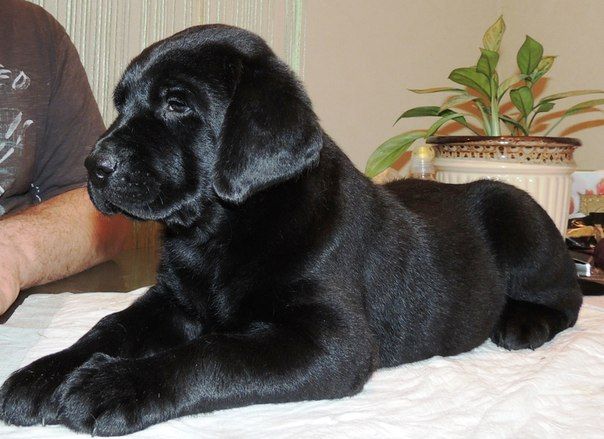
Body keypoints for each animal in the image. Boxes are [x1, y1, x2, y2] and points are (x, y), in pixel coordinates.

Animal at [1, 26, 584, 436]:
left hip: (519, 216)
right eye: (122, 103)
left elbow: (215, 353)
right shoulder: (171, 301)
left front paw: (114, 384)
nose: (93, 166)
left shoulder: (335, 342)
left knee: (570, 295)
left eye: (177, 102)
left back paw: (523, 322)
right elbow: (109, 327)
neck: (220, 231)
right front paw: (44, 374)